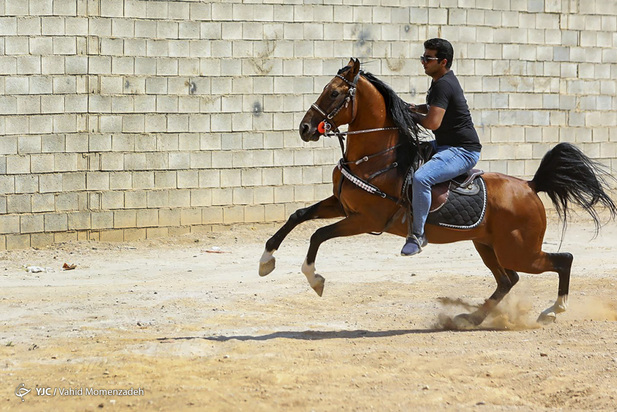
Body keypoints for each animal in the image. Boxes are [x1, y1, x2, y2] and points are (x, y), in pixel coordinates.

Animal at [258, 58, 612, 328]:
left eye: (333, 93)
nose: (305, 128)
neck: (378, 158)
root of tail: (529, 186)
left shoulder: (363, 219)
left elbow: (317, 234)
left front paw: (314, 279)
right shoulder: (340, 205)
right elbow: (298, 216)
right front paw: (266, 260)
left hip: (520, 251)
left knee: (562, 260)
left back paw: (553, 311)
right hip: (488, 246)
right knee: (508, 280)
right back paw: (471, 317)